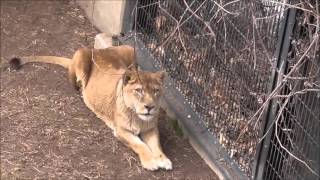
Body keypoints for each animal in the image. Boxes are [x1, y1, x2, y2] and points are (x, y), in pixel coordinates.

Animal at [9, 44, 172, 170]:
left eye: (156, 91)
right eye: (139, 90)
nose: (149, 107)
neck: (139, 118)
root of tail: (98, 49)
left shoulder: (151, 128)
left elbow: (156, 145)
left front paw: (163, 159)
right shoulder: (121, 131)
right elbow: (140, 145)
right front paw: (150, 161)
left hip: (130, 48)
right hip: (82, 53)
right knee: (76, 81)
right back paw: (83, 93)